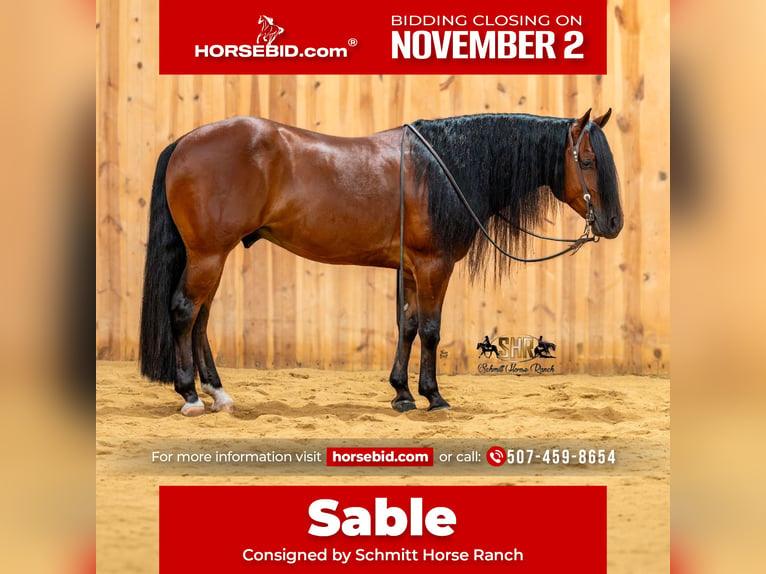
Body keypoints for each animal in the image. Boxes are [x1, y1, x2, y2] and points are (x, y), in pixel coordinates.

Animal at [139, 109, 623, 416]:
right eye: (586, 160)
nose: (615, 223)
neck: (443, 169)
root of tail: (183, 142)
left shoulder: (410, 269)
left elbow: (406, 325)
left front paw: (401, 394)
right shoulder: (434, 266)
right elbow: (430, 329)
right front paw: (433, 397)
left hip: (213, 257)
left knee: (201, 319)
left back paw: (218, 394)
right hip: (208, 255)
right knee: (184, 311)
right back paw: (190, 396)